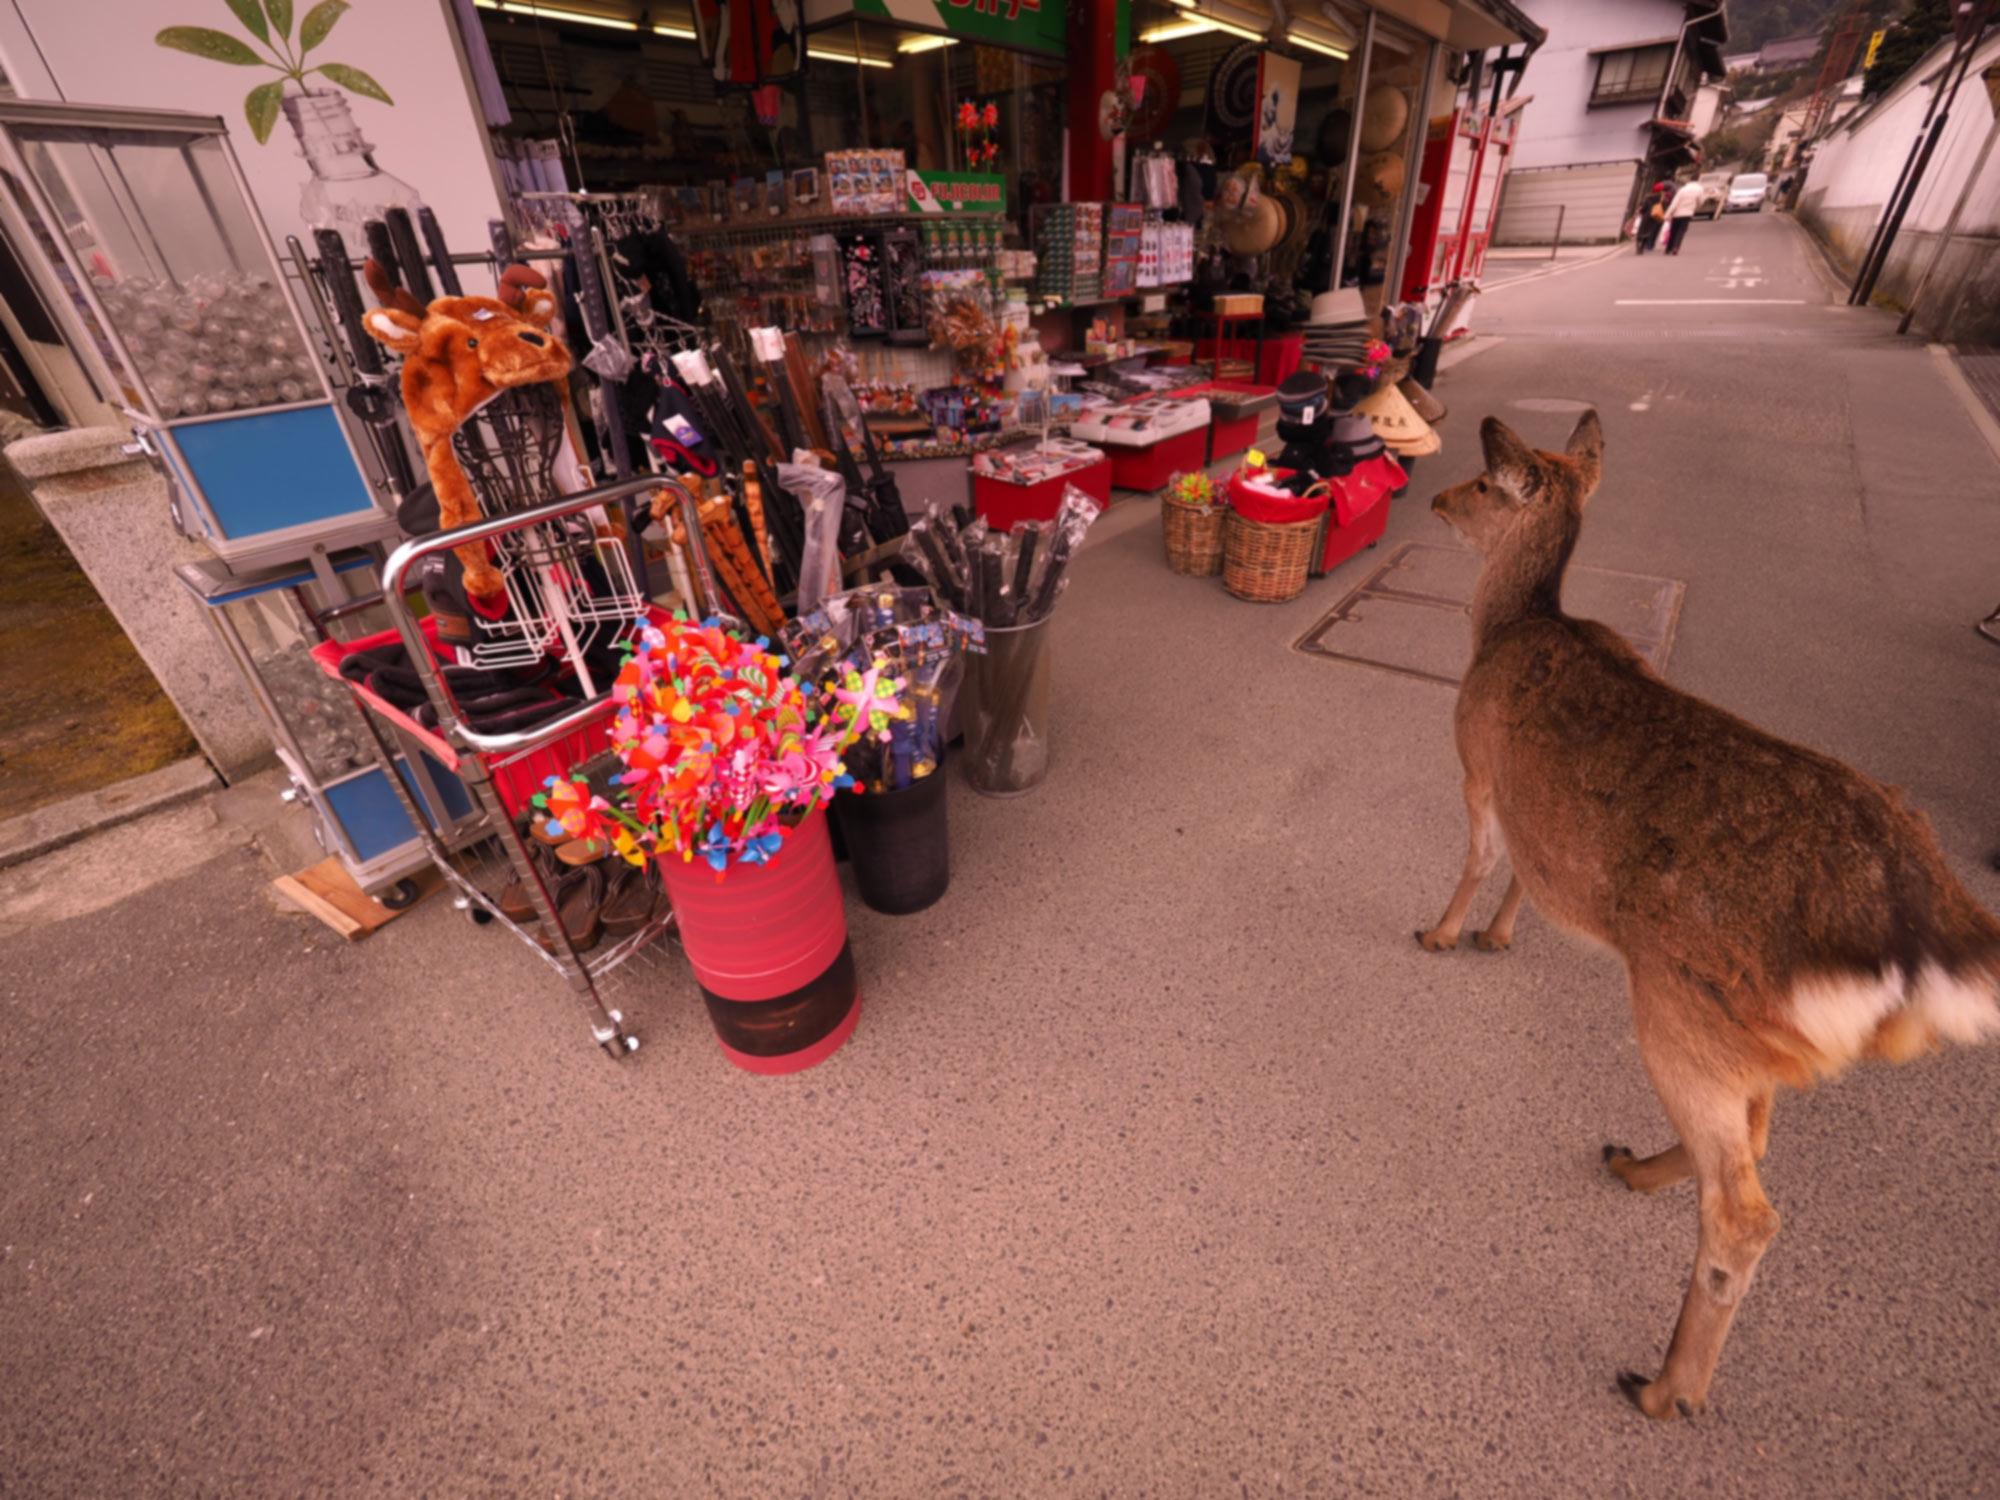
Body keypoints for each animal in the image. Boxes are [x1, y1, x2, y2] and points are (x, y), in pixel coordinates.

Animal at [1416, 408, 2000, 1424]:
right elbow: (1527, 871)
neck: (1505, 630)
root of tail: (1929, 934)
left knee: (1747, 1209)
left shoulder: (1478, 760)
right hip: (1744, 1032)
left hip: (1683, 1005)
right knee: (1750, 1144)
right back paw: (1635, 1166)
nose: (1441, 497)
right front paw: (1497, 934)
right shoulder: (1537, 816)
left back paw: (1666, 1387)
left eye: (1487, 483)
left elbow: (1482, 855)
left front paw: (1444, 932)